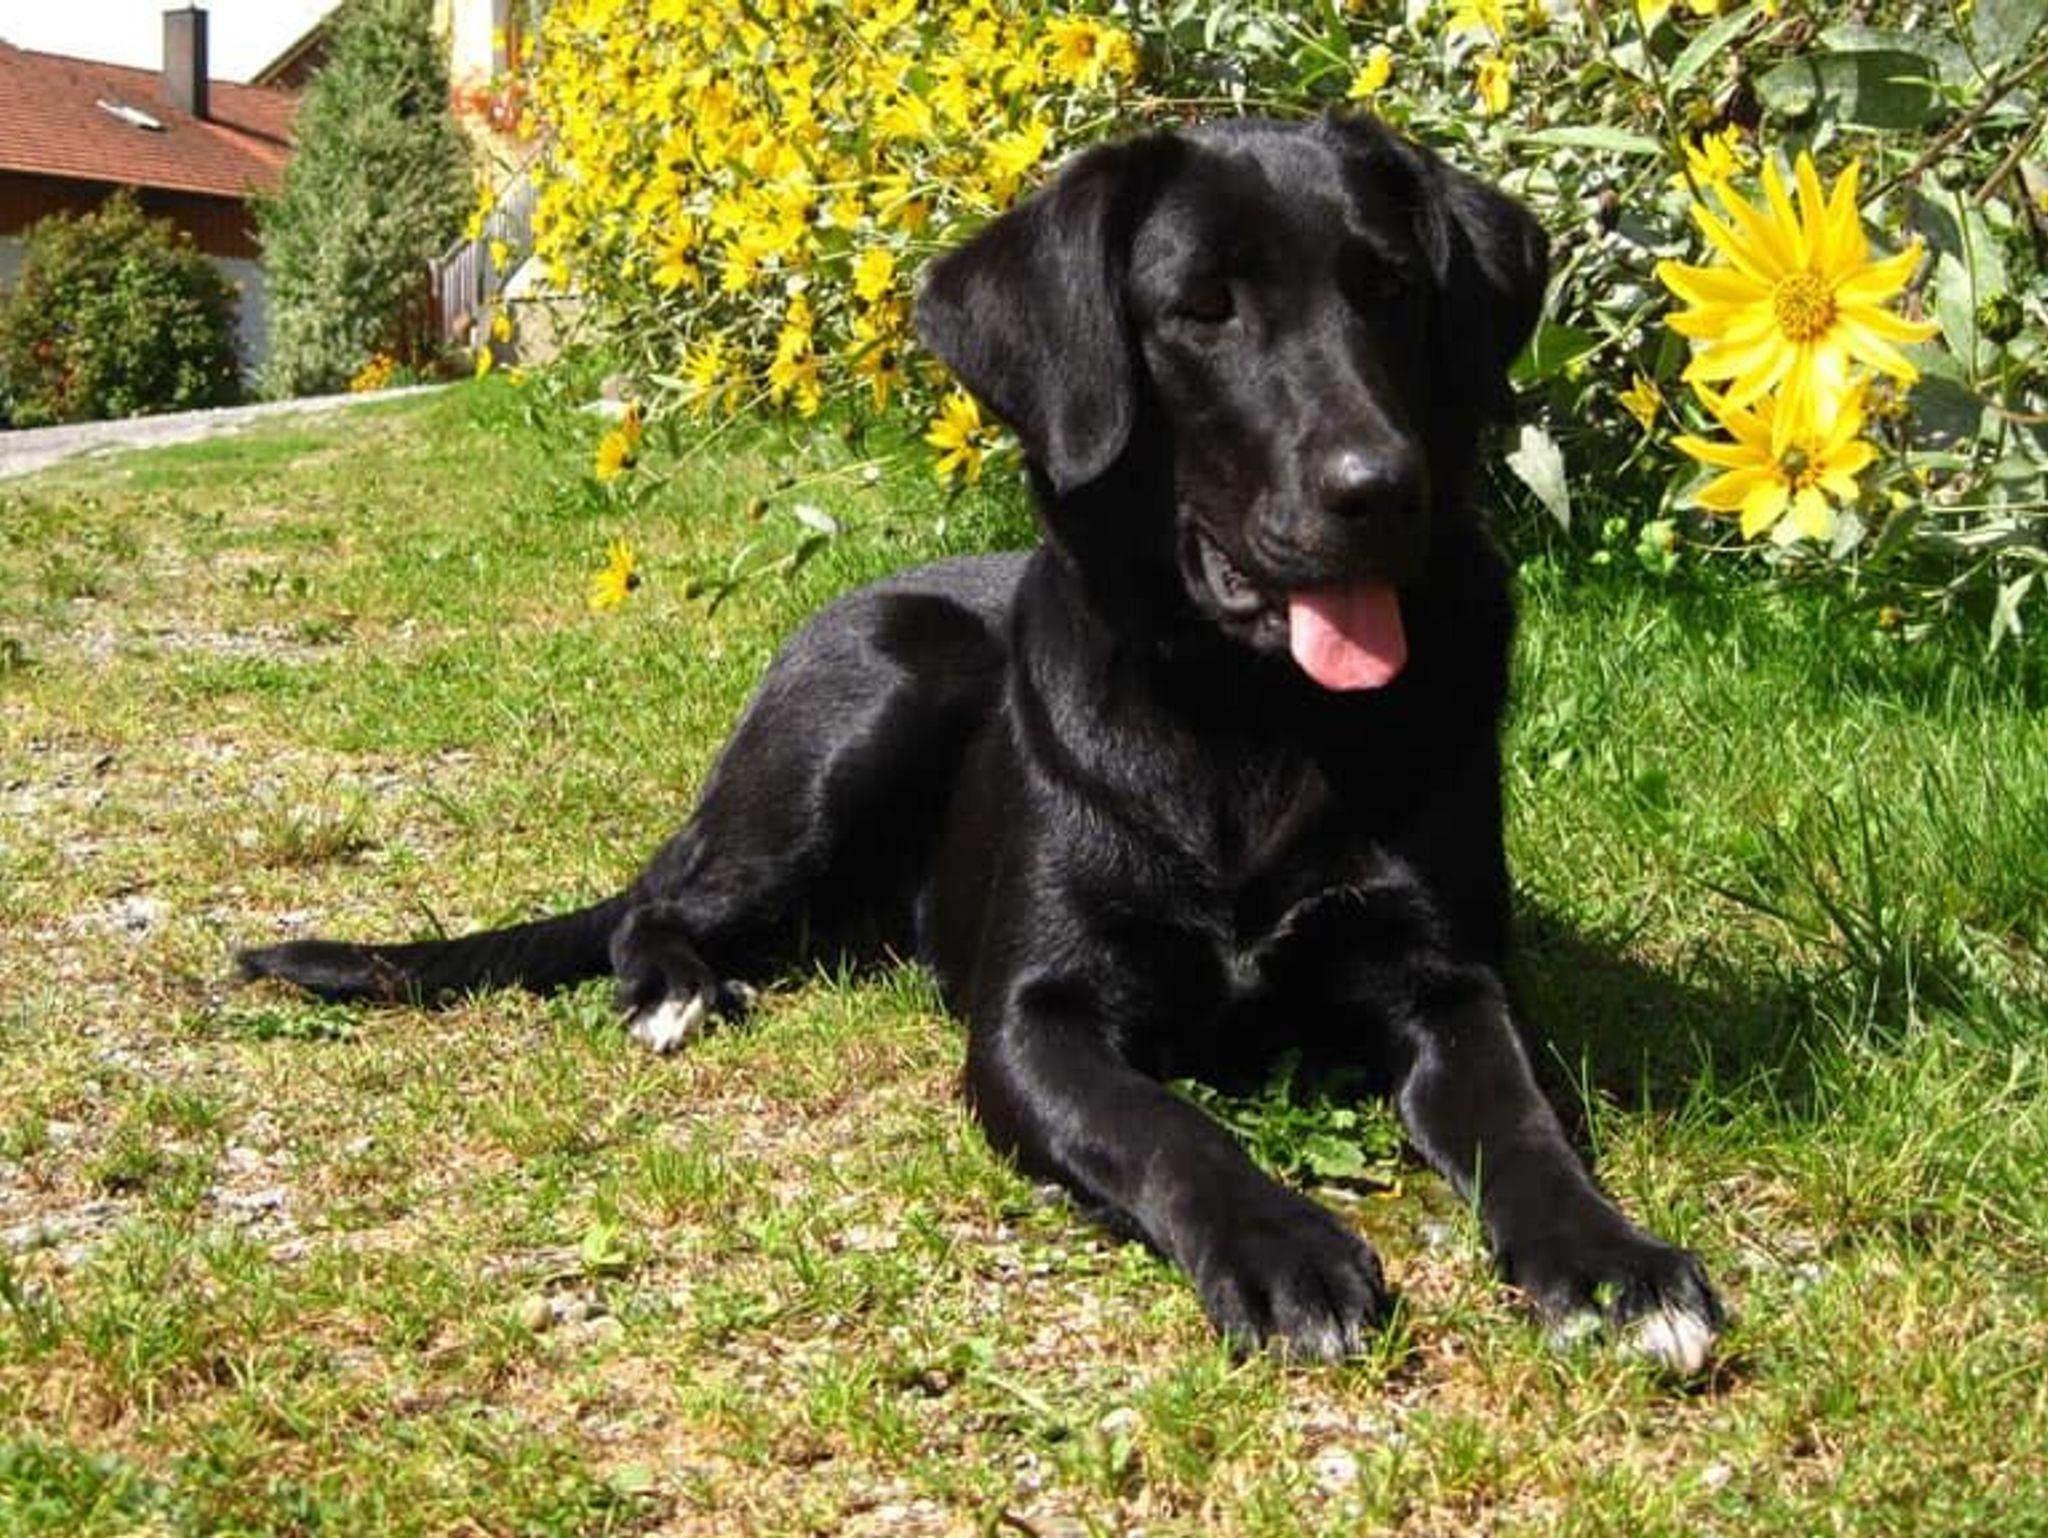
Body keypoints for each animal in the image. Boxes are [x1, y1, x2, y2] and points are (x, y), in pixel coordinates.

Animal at [241, 114, 1722, 1370]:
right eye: (1202, 312)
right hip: (876, 699)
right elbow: (1169, 1129)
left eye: (1394, 290)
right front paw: (1283, 1247)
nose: (1381, 489)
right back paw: (672, 987)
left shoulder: (1452, 982)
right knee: (660, 903)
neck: (1250, 713)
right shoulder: (1030, 1020)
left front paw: (1611, 1264)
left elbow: (1521, 1123)